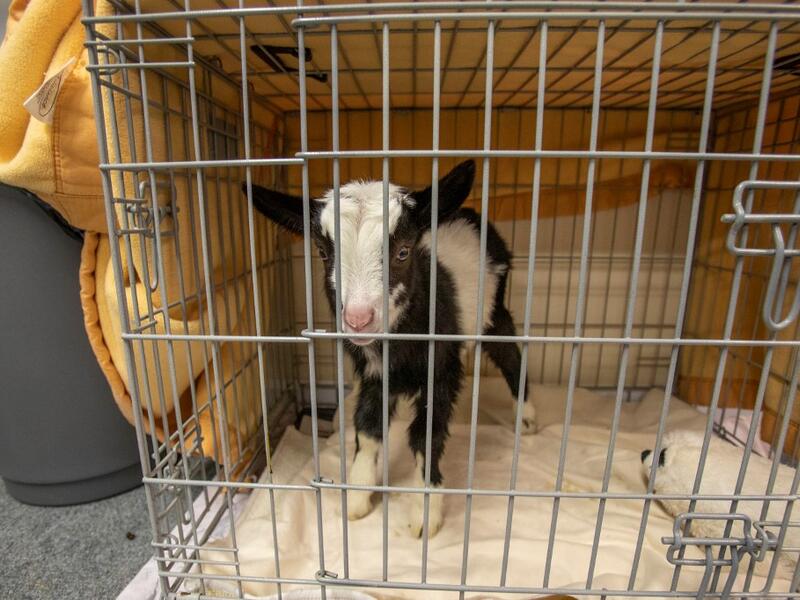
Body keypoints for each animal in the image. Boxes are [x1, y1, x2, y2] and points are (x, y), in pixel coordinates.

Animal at [245, 160, 533, 537]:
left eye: (403, 252)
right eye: (323, 253)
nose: (358, 319)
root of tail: (469, 214)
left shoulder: (441, 371)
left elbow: (426, 435)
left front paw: (425, 514)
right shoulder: (373, 374)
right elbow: (367, 428)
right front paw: (356, 497)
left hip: (494, 309)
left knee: (510, 354)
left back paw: (526, 417)